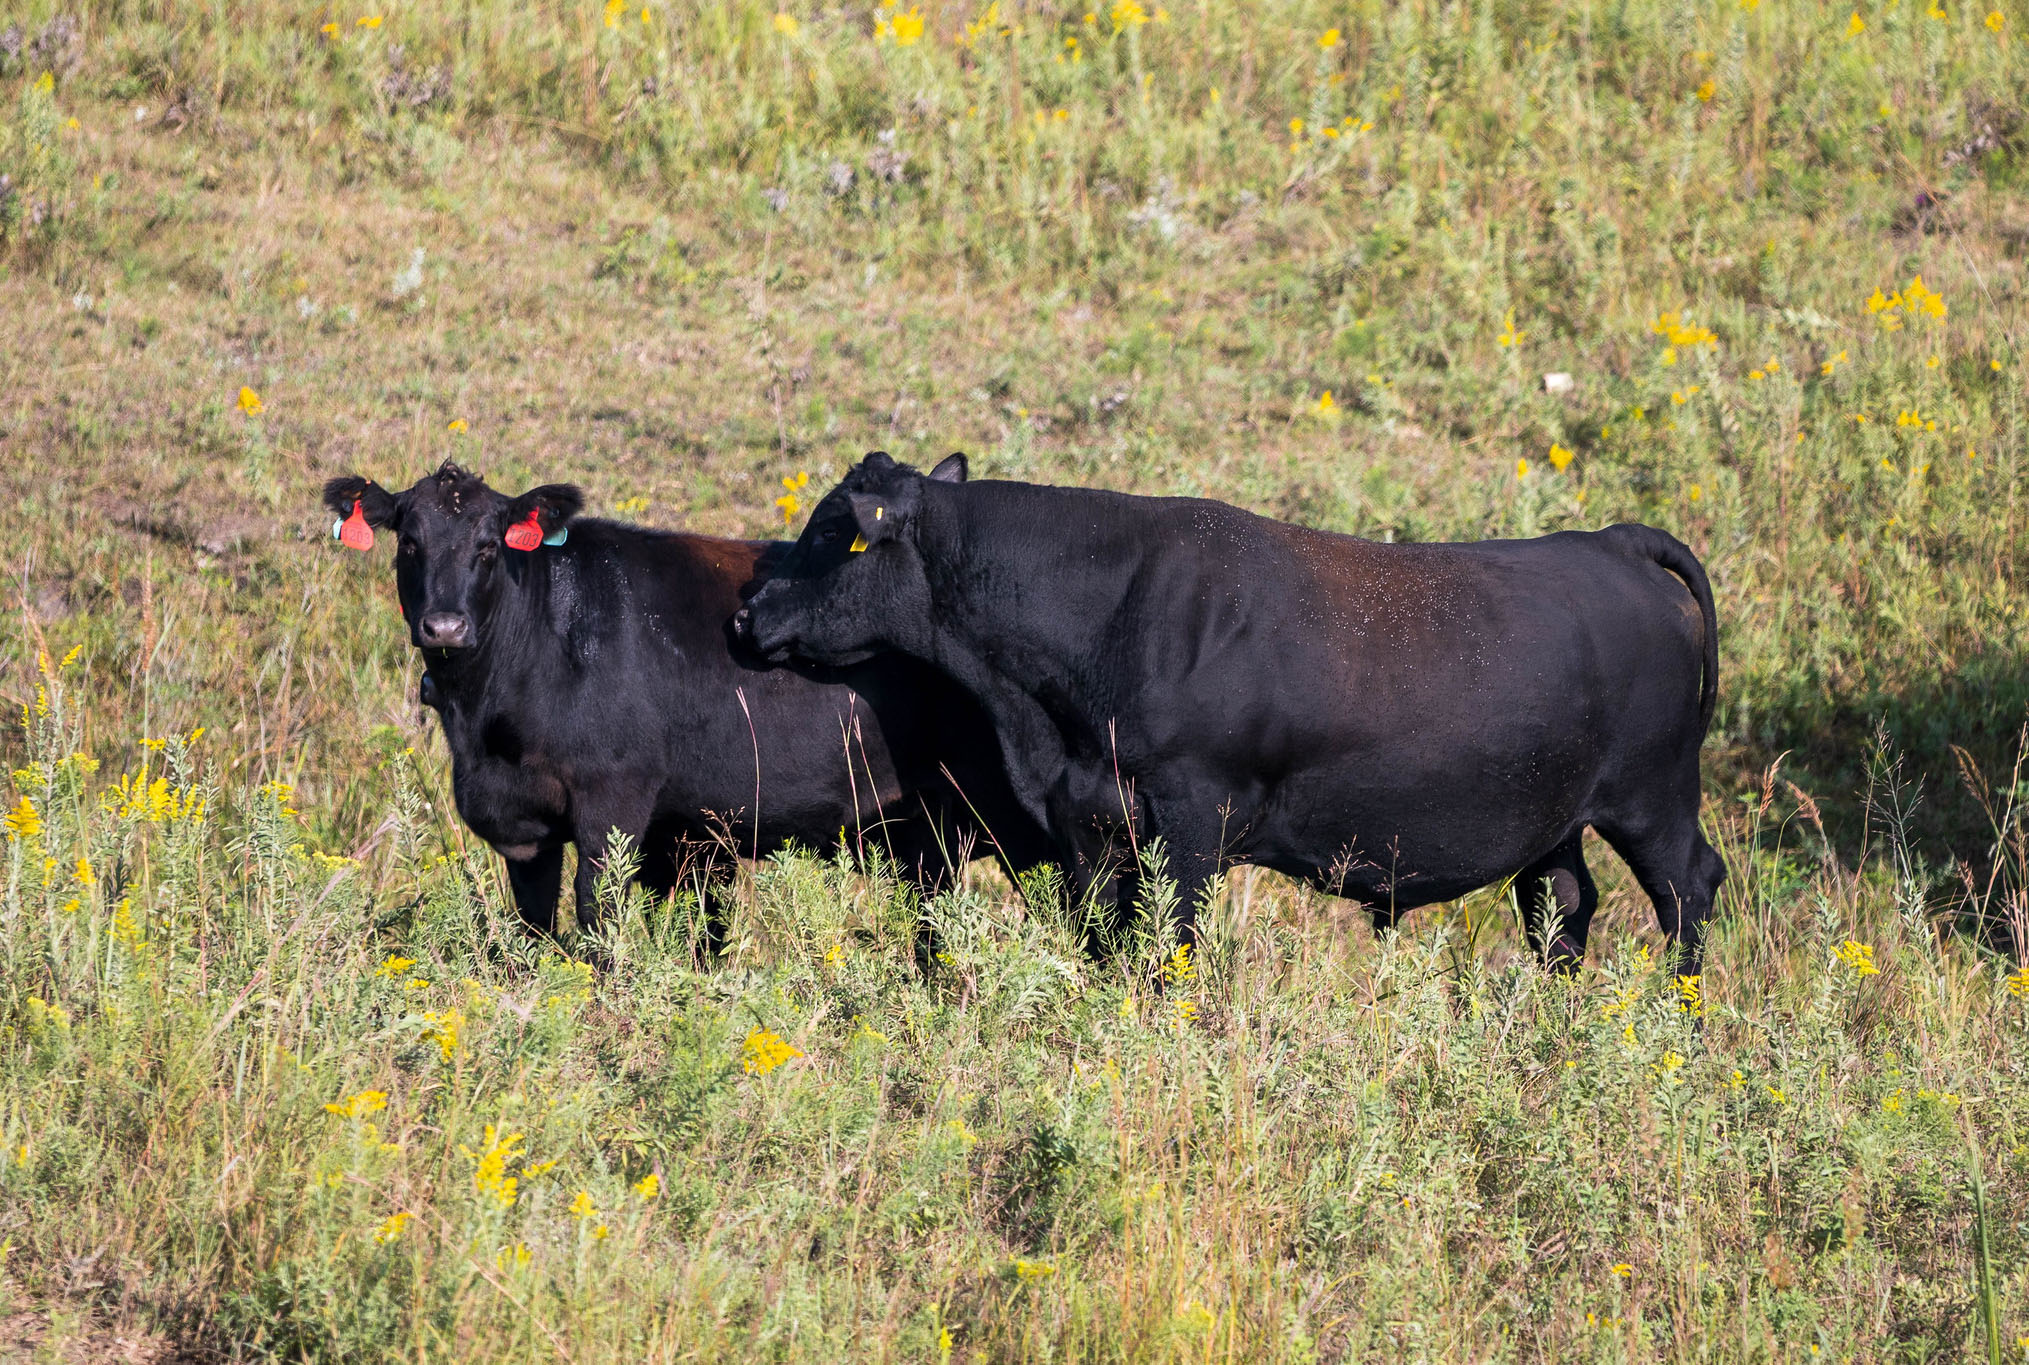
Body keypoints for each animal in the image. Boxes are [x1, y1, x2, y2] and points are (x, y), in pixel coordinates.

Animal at [320, 460, 1046, 949]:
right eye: (408, 542)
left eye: (488, 544)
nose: (444, 626)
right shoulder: (527, 829)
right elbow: (537, 926)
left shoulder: (615, 798)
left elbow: (598, 915)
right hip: (929, 835)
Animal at [738, 452, 1720, 973]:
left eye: (831, 531)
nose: (746, 613)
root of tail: (1607, 541)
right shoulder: (1090, 821)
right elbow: (1106, 940)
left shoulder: (1191, 816)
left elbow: (1170, 937)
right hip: (1554, 814)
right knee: (1561, 902)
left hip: (1652, 796)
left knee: (1687, 887)